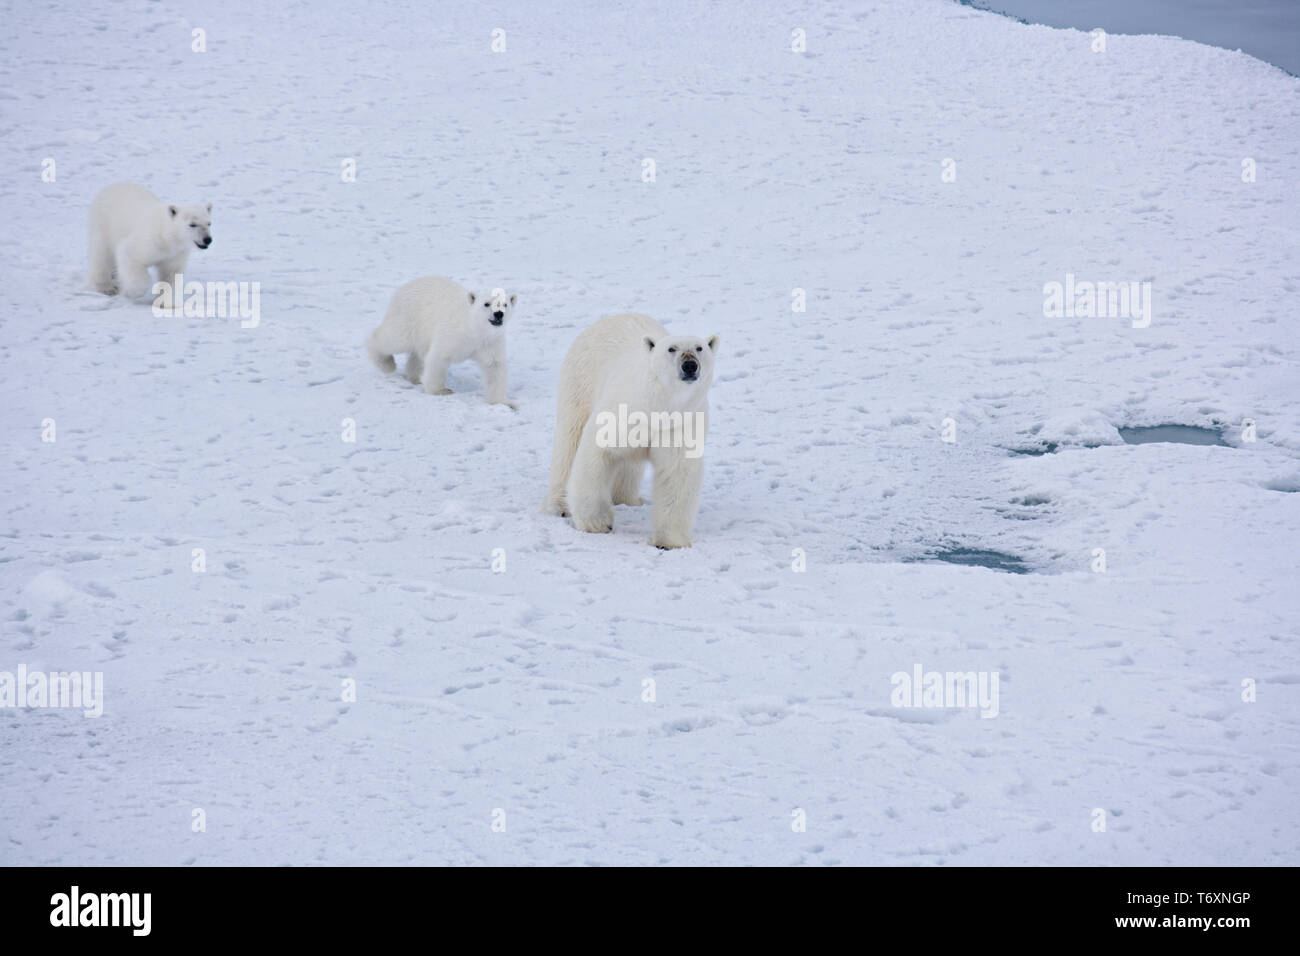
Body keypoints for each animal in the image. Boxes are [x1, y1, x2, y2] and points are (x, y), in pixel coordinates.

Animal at [366, 277, 518, 406]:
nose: (499, 314)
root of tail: (406, 286)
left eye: (505, 304)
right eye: (486, 304)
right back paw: (386, 364)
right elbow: (438, 357)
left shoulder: (490, 341)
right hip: (409, 316)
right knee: (394, 339)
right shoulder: (453, 334)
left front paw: (503, 403)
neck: (474, 329)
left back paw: (414, 377)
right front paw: (441, 391)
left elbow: (495, 367)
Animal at [543, 313, 718, 549]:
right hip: (580, 380)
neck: (657, 407)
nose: (690, 365)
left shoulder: (680, 423)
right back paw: (559, 504)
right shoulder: (621, 412)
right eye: (671, 349)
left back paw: (628, 499)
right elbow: (596, 453)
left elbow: (676, 473)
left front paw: (670, 541)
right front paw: (597, 523)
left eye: (699, 348)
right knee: (569, 438)